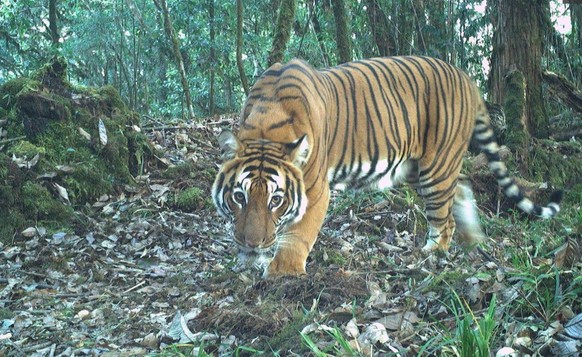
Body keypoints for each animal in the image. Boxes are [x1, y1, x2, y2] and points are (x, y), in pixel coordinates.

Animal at [212, 56, 564, 276]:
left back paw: (431, 252)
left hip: (435, 166)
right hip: (418, 167)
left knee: (444, 217)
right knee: (462, 188)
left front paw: (282, 275)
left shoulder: (314, 189)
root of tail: (467, 78)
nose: (252, 243)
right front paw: (250, 262)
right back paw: (473, 239)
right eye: (240, 196)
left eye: (277, 200)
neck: (266, 125)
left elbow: (297, 234)